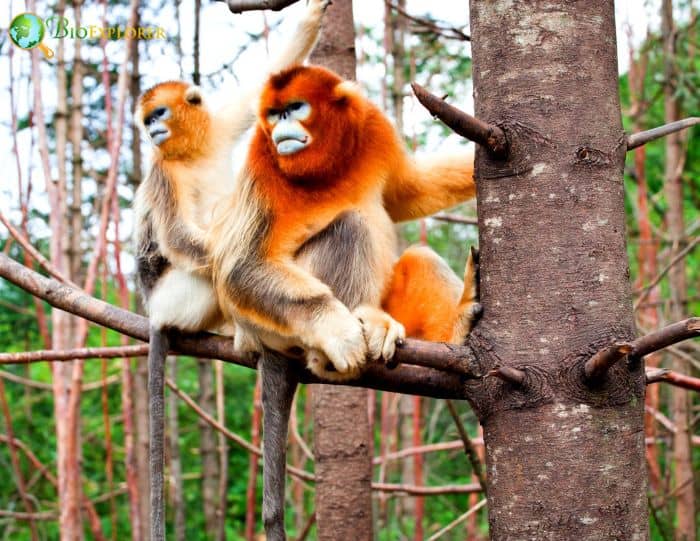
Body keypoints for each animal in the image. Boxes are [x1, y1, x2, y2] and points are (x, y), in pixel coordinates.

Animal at [135, 3, 330, 536]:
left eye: (159, 114)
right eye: (147, 121)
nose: (151, 131)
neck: (188, 153)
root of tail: (151, 312)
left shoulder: (220, 127)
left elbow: (265, 80)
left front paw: (312, 13)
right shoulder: (162, 173)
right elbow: (180, 239)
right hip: (173, 297)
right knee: (211, 274)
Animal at [208, 64, 478, 540]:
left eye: (294, 108)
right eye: (273, 115)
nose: (281, 127)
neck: (326, 164)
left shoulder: (372, 128)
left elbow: (410, 192)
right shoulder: (262, 161)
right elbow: (239, 267)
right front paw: (340, 332)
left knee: (420, 257)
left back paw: (453, 333)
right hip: (270, 324)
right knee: (349, 225)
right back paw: (341, 342)